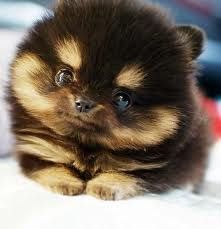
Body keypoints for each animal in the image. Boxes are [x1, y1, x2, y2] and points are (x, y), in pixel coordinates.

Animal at [8, 0, 212, 199]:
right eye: (64, 76)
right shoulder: (37, 147)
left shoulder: (156, 166)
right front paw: (66, 181)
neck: (86, 146)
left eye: (122, 98)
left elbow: (129, 173)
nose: (83, 103)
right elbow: (49, 164)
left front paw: (105, 185)